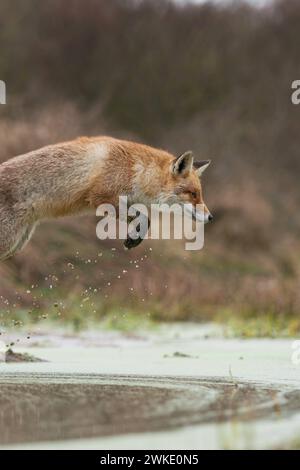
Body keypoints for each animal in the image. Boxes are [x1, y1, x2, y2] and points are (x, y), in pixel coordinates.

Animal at [0, 136, 211, 260]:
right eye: (193, 194)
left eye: (200, 194)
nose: (210, 217)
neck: (135, 170)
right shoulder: (101, 197)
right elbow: (145, 217)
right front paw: (135, 236)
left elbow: (142, 217)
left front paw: (135, 236)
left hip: (16, 245)